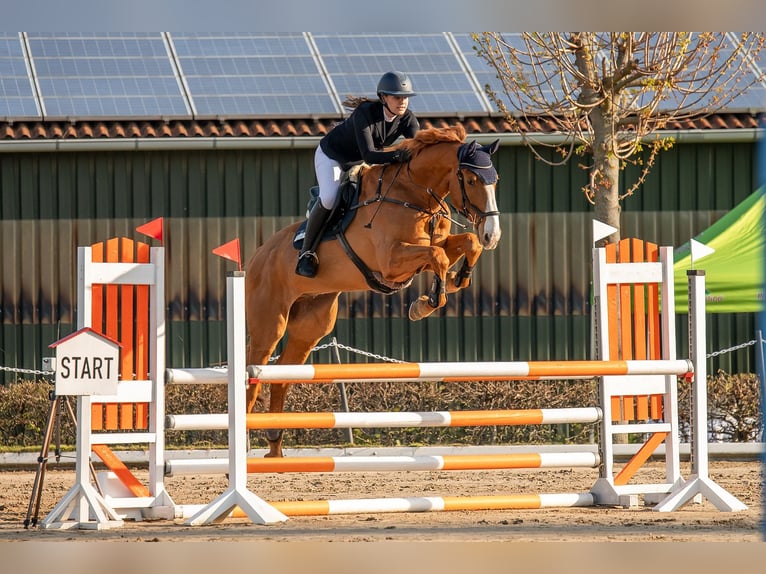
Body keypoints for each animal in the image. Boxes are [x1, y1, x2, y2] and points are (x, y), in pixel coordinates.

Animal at [243, 126, 500, 460]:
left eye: (495, 180)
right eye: (470, 180)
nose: (493, 234)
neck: (414, 195)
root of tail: (257, 256)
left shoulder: (428, 248)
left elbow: (466, 243)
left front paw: (455, 283)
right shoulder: (391, 263)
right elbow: (439, 257)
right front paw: (428, 302)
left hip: (311, 325)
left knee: (281, 377)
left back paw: (275, 447)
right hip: (269, 323)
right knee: (254, 375)